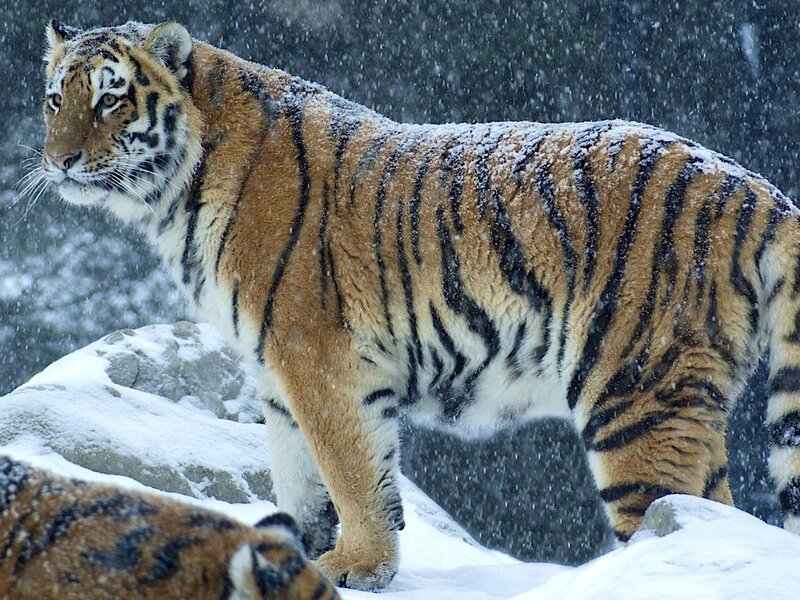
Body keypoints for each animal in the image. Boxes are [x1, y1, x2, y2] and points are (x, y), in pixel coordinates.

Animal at [34, 18, 800, 590]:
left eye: (109, 99)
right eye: (54, 99)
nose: (59, 161)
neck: (171, 195)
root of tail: (752, 186)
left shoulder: (317, 358)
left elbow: (351, 471)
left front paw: (357, 566)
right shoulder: (275, 372)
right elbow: (299, 475)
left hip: (635, 393)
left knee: (676, 519)